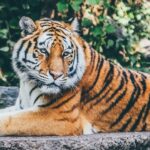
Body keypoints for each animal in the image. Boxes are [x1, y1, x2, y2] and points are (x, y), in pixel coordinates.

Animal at [0, 16, 149, 136]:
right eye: (44, 51)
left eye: (65, 54)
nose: (56, 75)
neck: (29, 82)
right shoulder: (22, 107)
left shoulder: (58, 115)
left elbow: (9, 120)